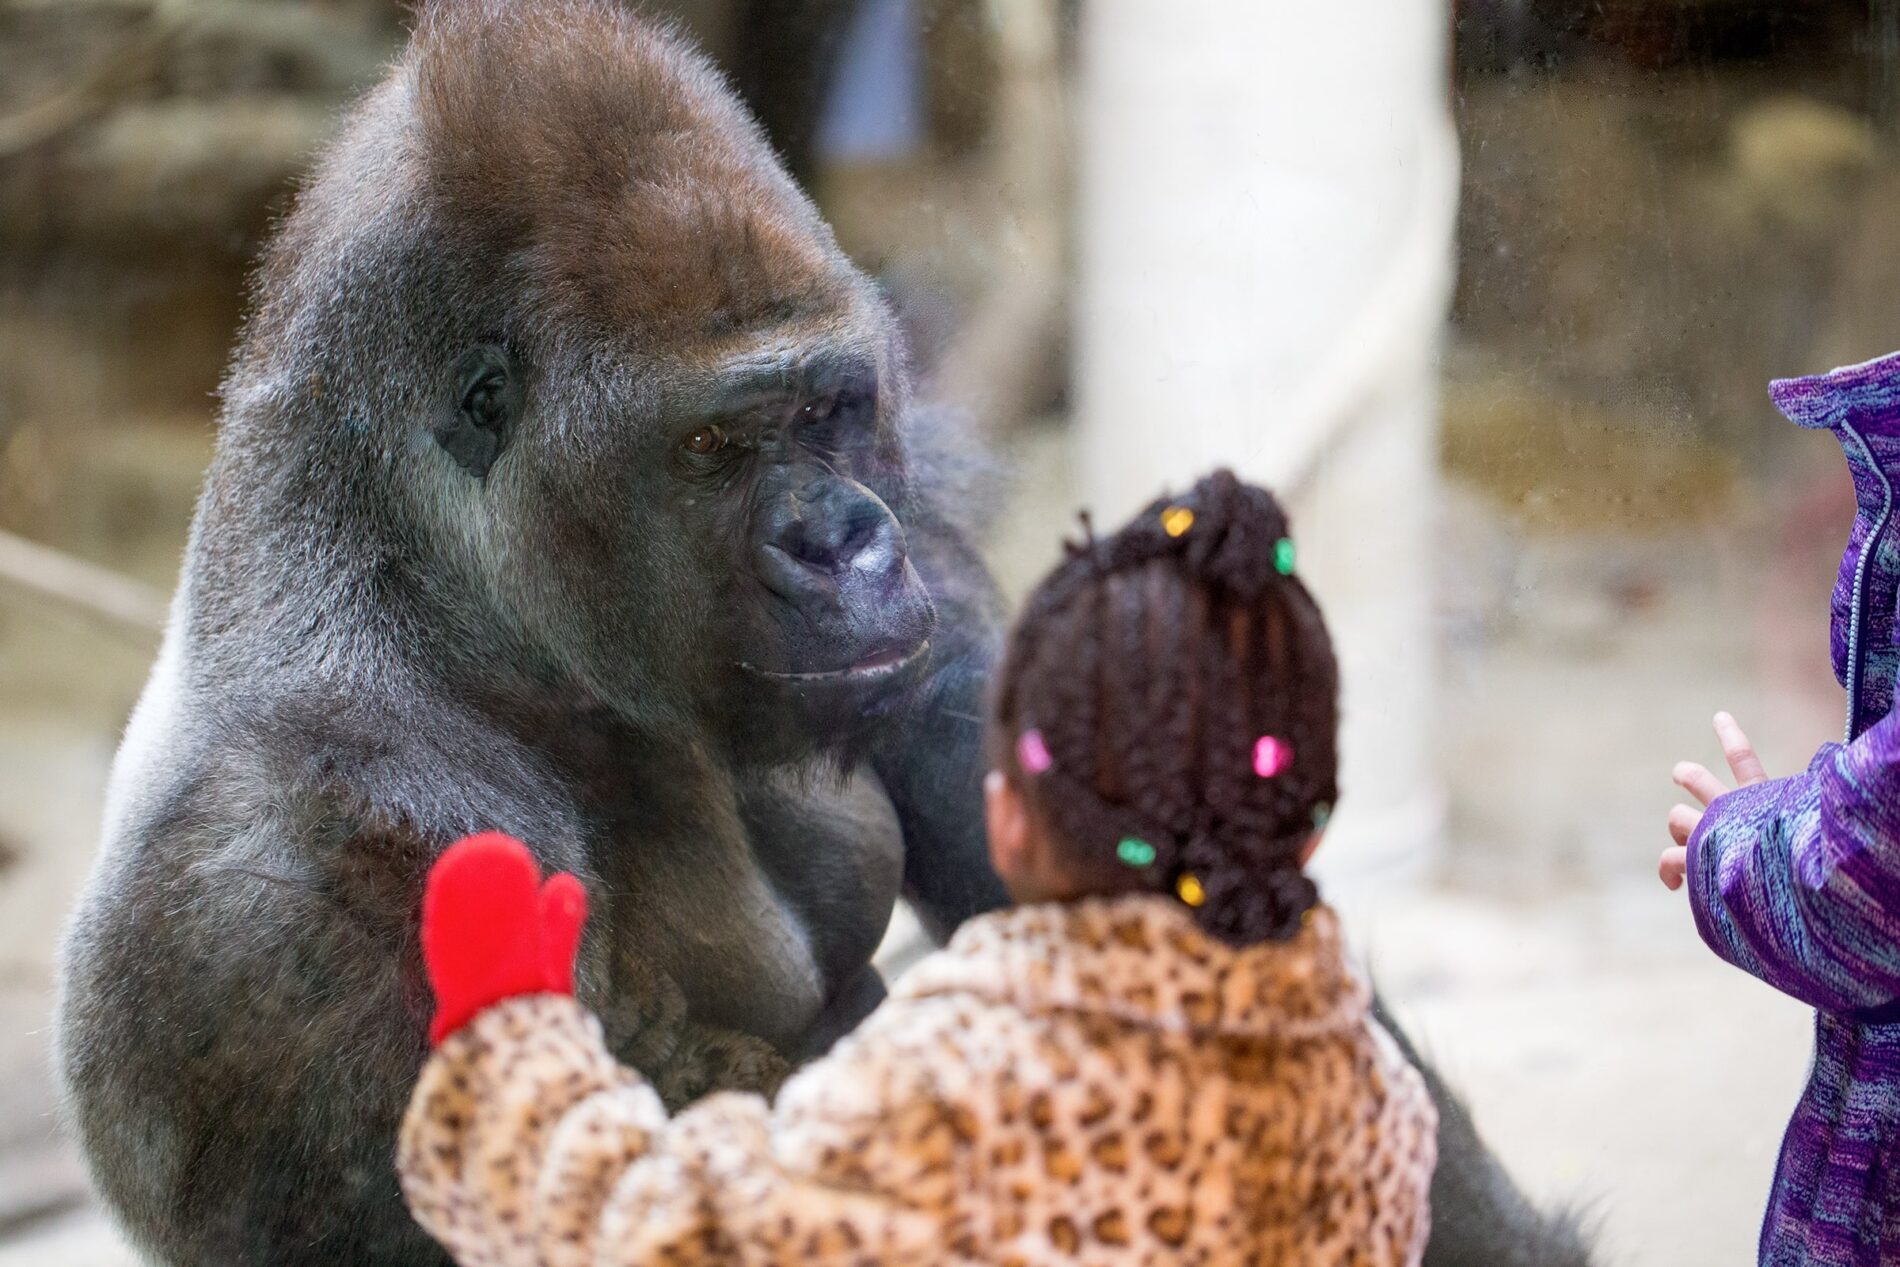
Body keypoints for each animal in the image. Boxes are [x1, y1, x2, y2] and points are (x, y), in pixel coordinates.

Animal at [54, 2, 1592, 1264]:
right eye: (712, 443)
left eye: (827, 407)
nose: (844, 540)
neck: (445, 601)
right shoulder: (316, 874)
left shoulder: (938, 537)